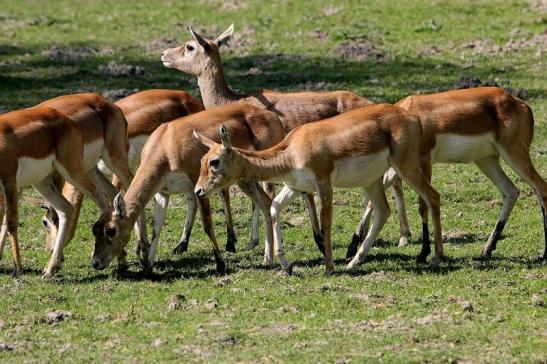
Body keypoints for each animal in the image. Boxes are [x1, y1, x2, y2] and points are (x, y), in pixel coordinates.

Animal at [0, 92, 133, 278]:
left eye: (44, 222)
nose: (49, 249)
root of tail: (105, 102)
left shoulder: (10, 181)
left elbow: (10, 221)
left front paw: (17, 269)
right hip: (79, 171)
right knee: (103, 196)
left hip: (101, 163)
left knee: (106, 193)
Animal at [90, 102, 284, 272]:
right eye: (94, 229)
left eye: (111, 230)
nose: (95, 263)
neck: (166, 146)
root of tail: (272, 115)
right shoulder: (162, 193)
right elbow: (156, 228)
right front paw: (148, 267)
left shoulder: (197, 186)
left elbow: (207, 225)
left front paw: (220, 264)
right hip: (245, 179)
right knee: (265, 204)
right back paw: (264, 257)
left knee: (267, 201)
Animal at [194, 104, 446, 276]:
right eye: (202, 160)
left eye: (214, 161)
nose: (198, 191)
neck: (292, 150)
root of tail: (411, 117)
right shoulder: (295, 186)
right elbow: (274, 208)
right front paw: (287, 265)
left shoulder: (323, 183)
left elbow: (325, 222)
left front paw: (329, 267)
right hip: (372, 179)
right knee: (383, 210)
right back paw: (355, 261)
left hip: (406, 166)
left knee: (433, 197)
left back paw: (436, 257)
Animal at [346, 87, 547, 262]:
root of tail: (519, 103)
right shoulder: (401, 167)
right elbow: (373, 201)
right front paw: (351, 248)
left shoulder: (424, 162)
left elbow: (423, 205)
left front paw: (423, 253)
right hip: (486, 160)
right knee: (511, 191)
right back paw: (487, 249)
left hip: (514, 154)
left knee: (540, 188)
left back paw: (544, 254)